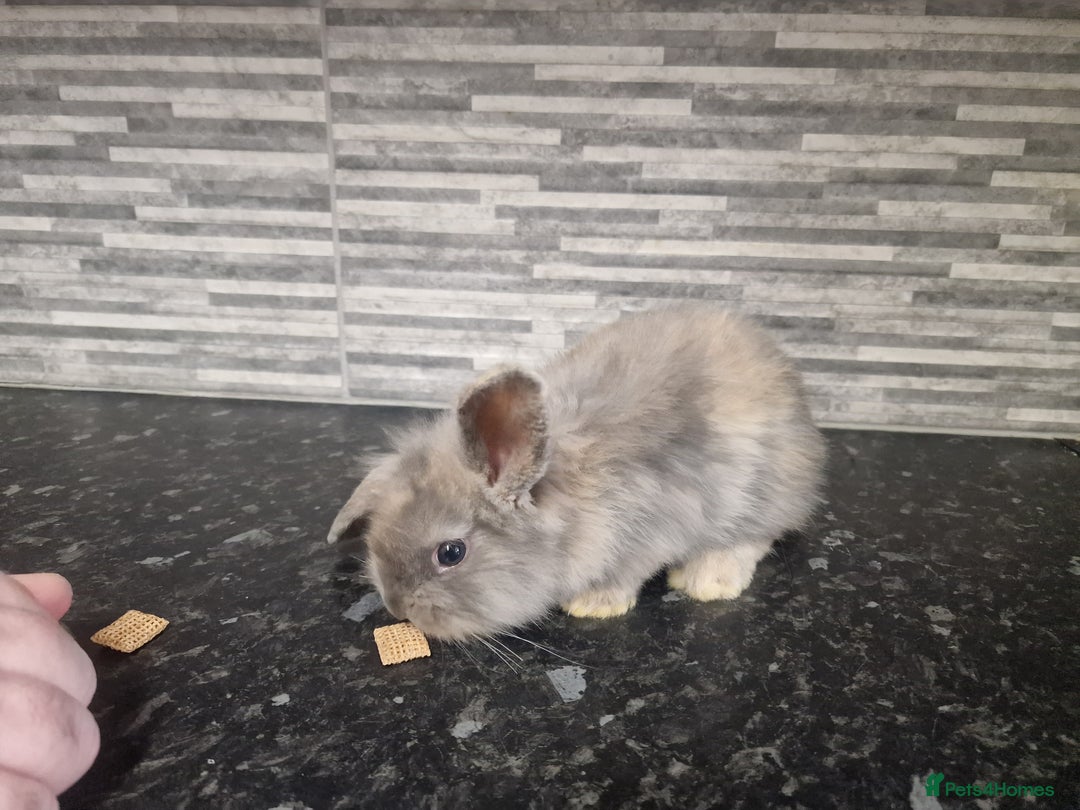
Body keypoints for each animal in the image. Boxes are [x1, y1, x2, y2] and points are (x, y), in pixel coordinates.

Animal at [327, 304, 826, 641]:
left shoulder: (647, 529)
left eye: (451, 553)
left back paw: (708, 579)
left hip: (767, 490)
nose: (398, 608)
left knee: (757, 534)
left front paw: (593, 605)